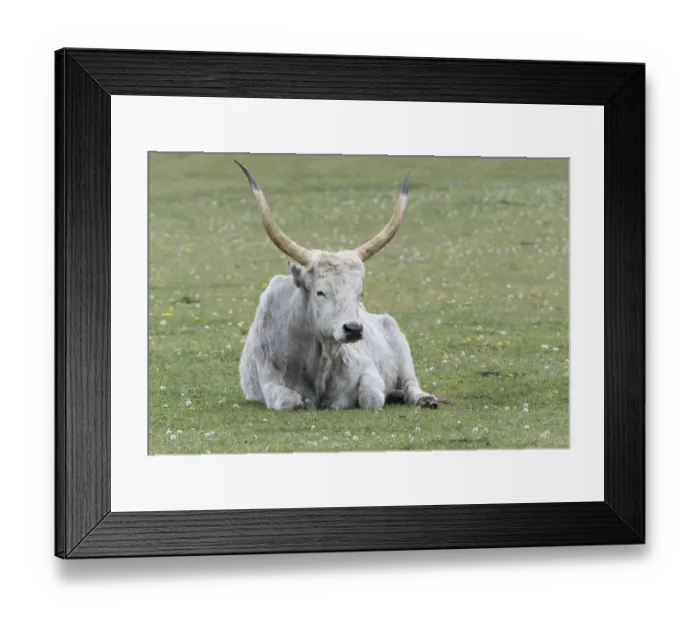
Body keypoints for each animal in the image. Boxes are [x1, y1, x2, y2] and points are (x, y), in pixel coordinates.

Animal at [234, 159, 439, 412]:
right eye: (320, 291)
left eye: (360, 293)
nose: (354, 329)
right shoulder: (270, 384)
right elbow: (291, 401)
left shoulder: (367, 368)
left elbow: (371, 397)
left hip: (399, 345)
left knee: (410, 383)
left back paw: (421, 398)